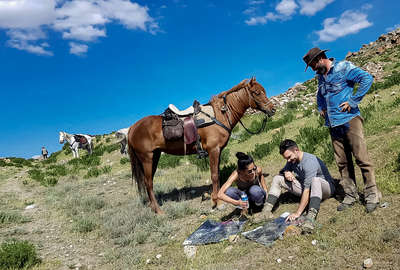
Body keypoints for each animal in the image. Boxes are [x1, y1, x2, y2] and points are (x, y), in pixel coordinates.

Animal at [128, 77, 276, 213]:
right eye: (257, 92)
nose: (272, 109)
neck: (220, 115)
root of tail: (132, 129)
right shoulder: (213, 150)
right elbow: (214, 175)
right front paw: (218, 202)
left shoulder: (218, 151)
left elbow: (216, 174)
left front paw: (215, 199)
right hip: (147, 158)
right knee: (148, 183)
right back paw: (159, 211)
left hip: (155, 157)